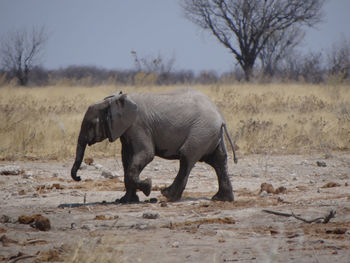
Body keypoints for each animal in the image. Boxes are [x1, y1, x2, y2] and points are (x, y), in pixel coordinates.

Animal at [70, 89, 238, 204]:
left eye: (91, 124)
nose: (79, 177)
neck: (115, 101)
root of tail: (221, 117)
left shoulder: (138, 125)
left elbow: (146, 154)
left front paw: (148, 186)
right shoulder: (127, 130)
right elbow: (126, 159)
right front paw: (125, 200)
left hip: (201, 132)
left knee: (187, 158)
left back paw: (167, 196)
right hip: (209, 134)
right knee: (217, 160)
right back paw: (221, 199)